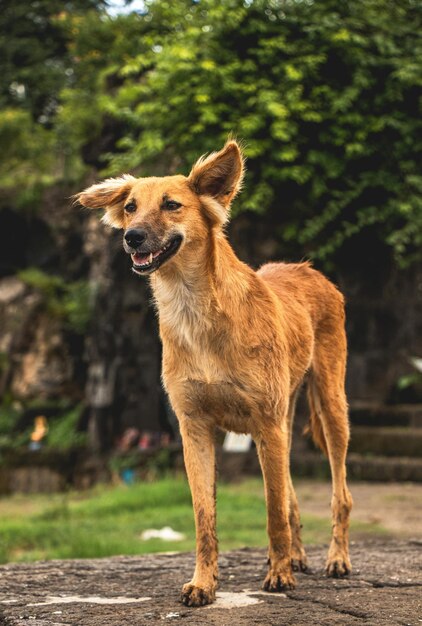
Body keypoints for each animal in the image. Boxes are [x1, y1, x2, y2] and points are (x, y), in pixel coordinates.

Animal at [76, 140, 352, 604]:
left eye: (171, 205)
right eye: (131, 208)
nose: (132, 238)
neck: (195, 310)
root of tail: (305, 267)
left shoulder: (264, 424)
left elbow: (272, 510)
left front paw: (278, 577)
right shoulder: (196, 428)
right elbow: (205, 517)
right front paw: (204, 583)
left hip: (329, 406)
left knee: (339, 494)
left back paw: (336, 558)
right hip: (284, 418)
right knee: (292, 495)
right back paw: (297, 556)